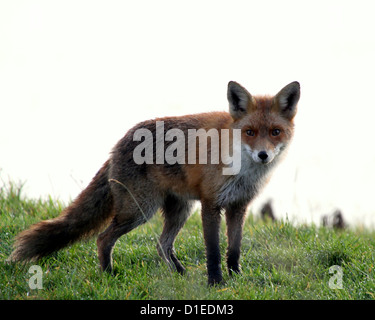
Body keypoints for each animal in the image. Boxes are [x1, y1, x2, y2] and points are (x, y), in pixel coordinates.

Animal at [8, 80, 302, 284]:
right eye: (249, 132)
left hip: (179, 209)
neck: (243, 171)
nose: (263, 155)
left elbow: (234, 250)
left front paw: (236, 277)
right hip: (139, 210)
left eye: (275, 132)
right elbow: (214, 251)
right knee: (104, 239)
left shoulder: (239, 206)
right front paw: (216, 282)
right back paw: (109, 274)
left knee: (162, 245)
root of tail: (117, 145)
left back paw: (180, 274)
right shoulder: (211, 204)